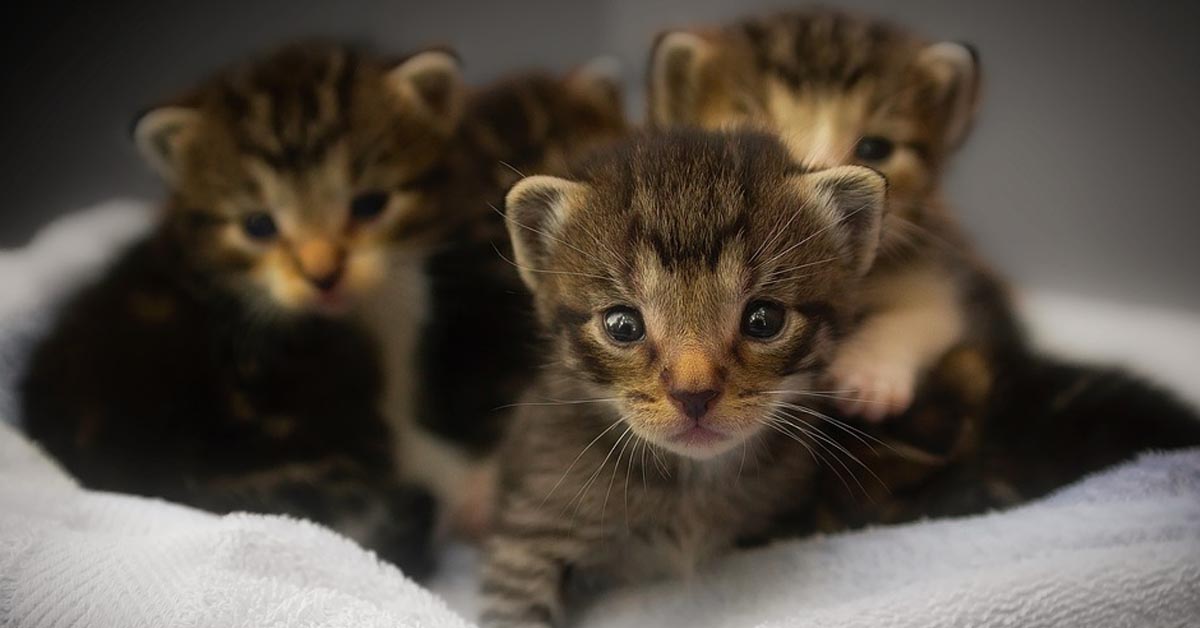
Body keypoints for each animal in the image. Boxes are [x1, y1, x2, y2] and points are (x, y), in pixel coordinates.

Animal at [22, 40, 468, 581]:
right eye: (259, 225)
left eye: (370, 205)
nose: (323, 276)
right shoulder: (371, 397)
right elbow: (416, 448)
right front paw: (471, 484)